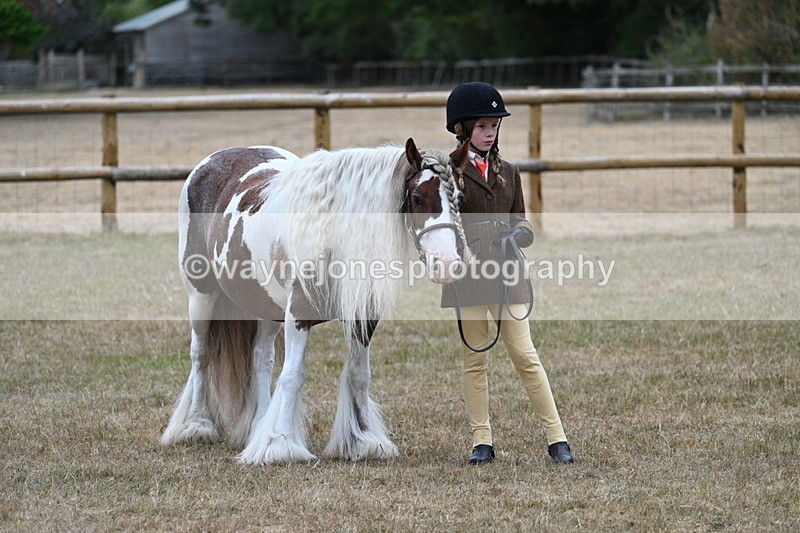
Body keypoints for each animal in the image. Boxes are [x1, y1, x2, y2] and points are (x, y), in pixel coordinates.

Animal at [161, 138, 472, 464]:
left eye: (459, 199)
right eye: (417, 198)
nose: (447, 263)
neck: (332, 237)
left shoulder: (363, 317)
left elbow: (358, 375)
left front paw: (363, 440)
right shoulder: (297, 315)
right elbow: (293, 376)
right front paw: (281, 444)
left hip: (266, 307)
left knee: (261, 358)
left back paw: (258, 425)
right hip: (201, 297)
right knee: (201, 354)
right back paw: (196, 425)